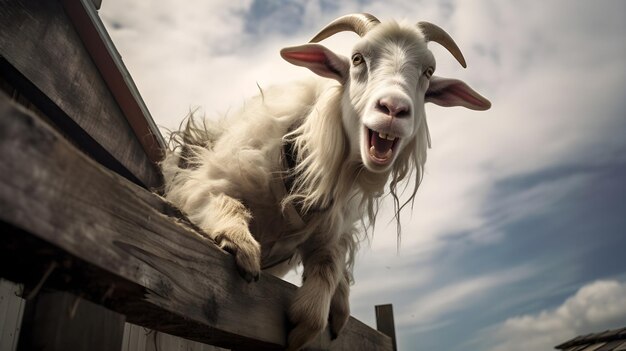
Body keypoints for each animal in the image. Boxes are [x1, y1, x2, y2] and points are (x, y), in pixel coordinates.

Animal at [158, 12, 490, 350]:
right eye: (357, 59)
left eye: (428, 71)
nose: (393, 108)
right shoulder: (202, 184)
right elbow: (226, 203)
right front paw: (241, 245)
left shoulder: (330, 233)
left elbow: (327, 272)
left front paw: (303, 328)